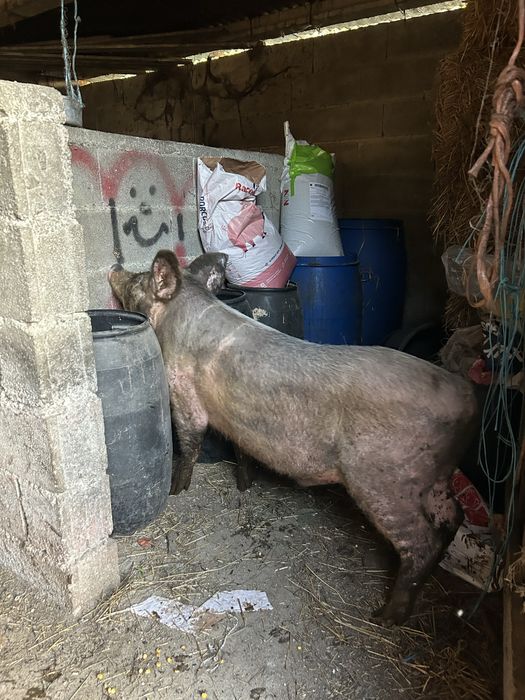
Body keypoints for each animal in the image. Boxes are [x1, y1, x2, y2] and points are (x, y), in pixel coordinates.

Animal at [109, 250, 478, 626]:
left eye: (139, 281)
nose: (115, 268)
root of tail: (466, 398)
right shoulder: (240, 419)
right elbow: (241, 450)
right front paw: (244, 486)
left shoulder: (183, 392)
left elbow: (190, 442)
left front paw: (176, 491)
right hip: (436, 477)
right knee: (454, 517)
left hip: (385, 481)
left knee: (421, 543)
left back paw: (384, 617)